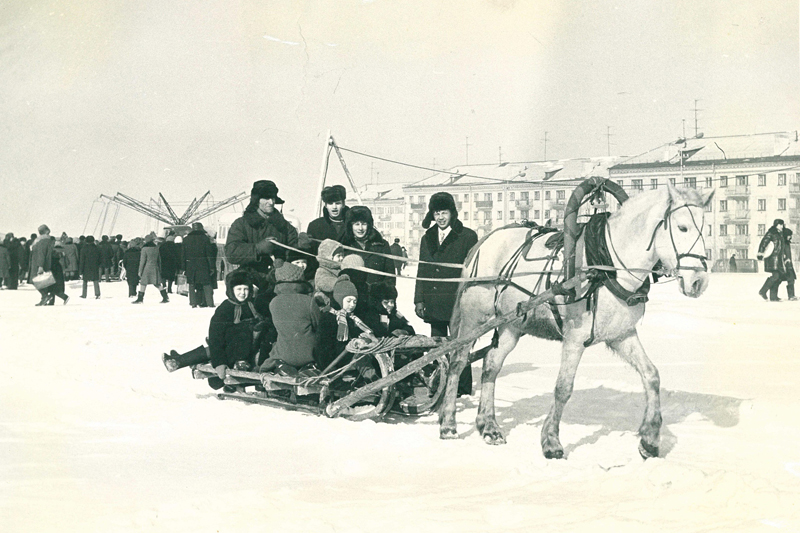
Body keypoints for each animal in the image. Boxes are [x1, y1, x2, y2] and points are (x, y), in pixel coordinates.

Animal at [440, 183, 716, 458]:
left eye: (705, 228)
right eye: (682, 227)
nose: (698, 282)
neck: (606, 266)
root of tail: (486, 240)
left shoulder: (622, 334)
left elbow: (651, 375)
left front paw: (650, 438)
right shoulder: (574, 338)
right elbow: (563, 388)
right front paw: (551, 441)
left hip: (513, 324)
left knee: (491, 365)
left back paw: (488, 425)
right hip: (475, 317)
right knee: (457, 362)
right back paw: (448, 423)